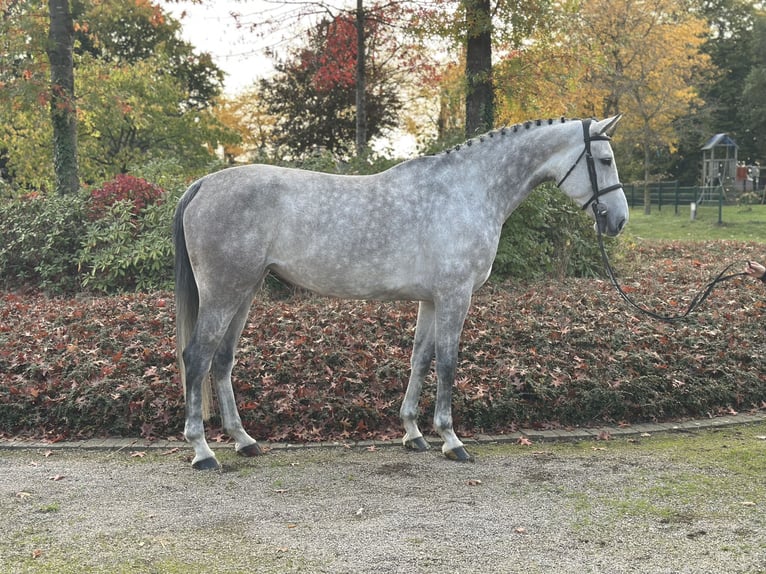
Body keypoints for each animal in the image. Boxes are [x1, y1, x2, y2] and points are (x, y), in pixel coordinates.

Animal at [174, 116, 628, 470]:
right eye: (605, 161)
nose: (619, 220)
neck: (468, 191)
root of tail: (203, 184)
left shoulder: (431, 300)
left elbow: (420, 360)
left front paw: (413, 433)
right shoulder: (454, 297)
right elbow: (447, 364)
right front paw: (451, 440)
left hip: (244, 292)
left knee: (222, 361)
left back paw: (244, 441)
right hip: (224, 294)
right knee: (197, 358)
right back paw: (203, 451)